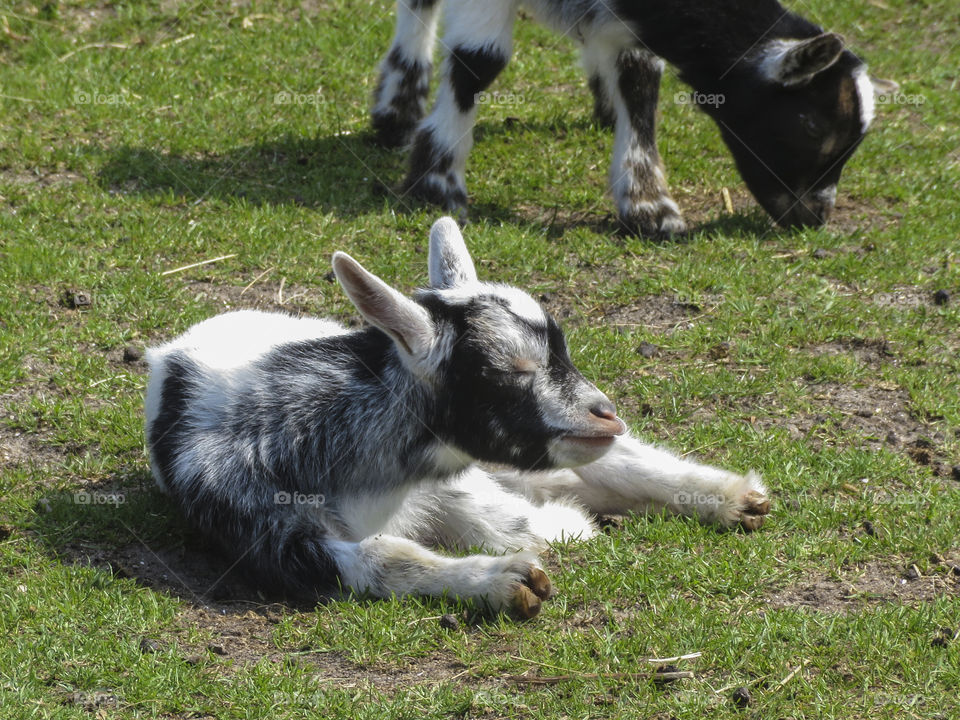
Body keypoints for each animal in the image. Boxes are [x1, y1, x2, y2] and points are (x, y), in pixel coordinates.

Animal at [146, 219, 768, 620]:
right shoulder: (273, 535)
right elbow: (387, 556)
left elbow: (526, 520)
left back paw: (729, 497)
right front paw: (504, 580)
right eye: (510, 368)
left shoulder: (460, 479)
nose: (605, 414)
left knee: (606, 467)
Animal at [372, 0, 880, 236]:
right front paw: (437, 184)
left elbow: (639, 78)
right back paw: (398, 107)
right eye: (812, 126)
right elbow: (480, 61)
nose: (815, 216)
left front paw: (648, 206)